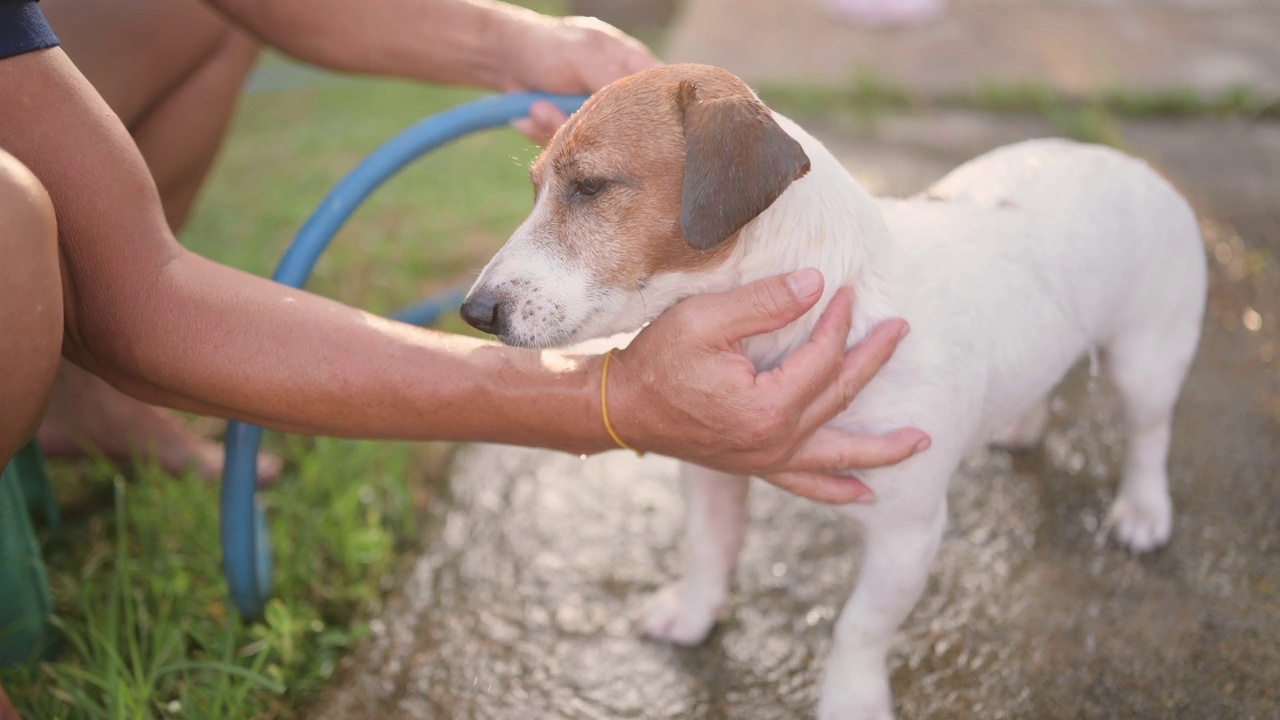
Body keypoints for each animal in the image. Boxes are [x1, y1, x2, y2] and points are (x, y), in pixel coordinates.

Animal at [460, 64, 1208, 712]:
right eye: (535, 188)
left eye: (590, 186)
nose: (475, 313)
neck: (826, 298)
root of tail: (1135, 165)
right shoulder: (711, 467)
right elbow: (708, 551)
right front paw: (695, 615)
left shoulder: (908, 530)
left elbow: (858, 628)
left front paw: (851, 701)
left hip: (1145, 362)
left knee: (1151, 432)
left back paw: (1143, 510)